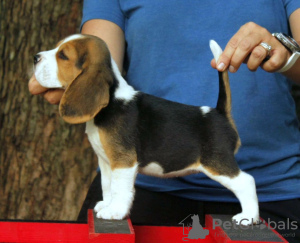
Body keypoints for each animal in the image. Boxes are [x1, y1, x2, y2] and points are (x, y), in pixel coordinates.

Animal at [32, 33, 258, 225]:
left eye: (63, 55)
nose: (35, 57)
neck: (111, 101)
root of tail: (219, 113)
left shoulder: (123, 161)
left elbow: (120, 190)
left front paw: (115, 212)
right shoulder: (106, 162)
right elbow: (108, 186)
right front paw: (107, 204)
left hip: (217, 163)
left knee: (247, 181)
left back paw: (249, 216)